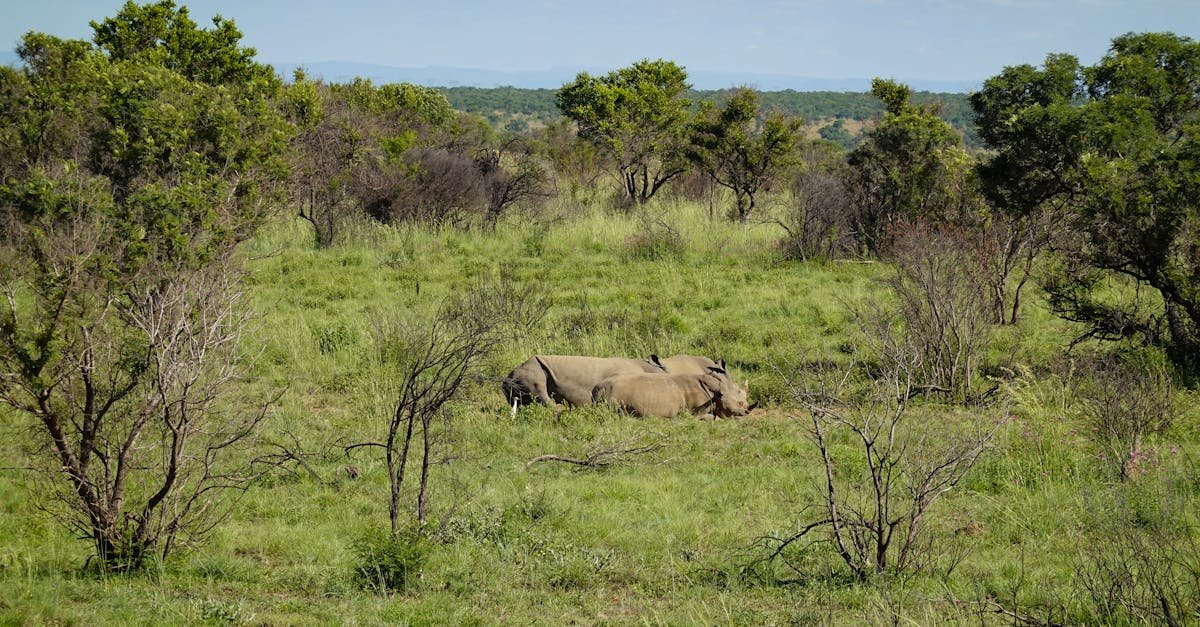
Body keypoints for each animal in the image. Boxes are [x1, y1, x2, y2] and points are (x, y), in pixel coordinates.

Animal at [590, 367, 748, 418]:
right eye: (739, 404)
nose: (746, 412)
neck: (715, 392)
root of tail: (596, 387)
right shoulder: (696, 410)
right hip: (613, 393)